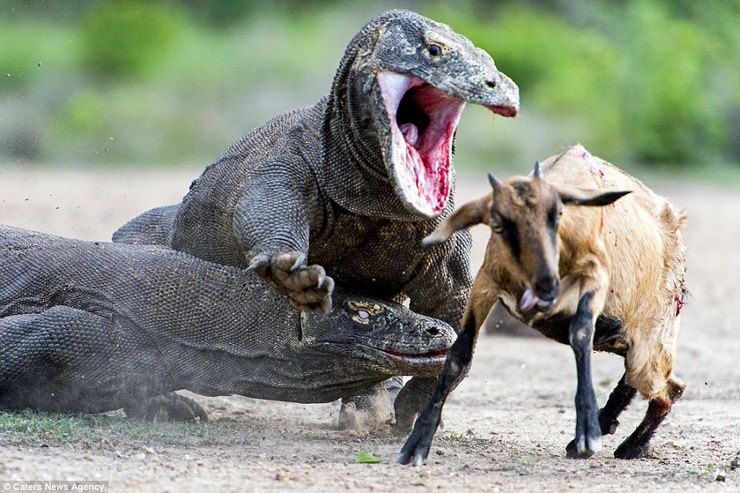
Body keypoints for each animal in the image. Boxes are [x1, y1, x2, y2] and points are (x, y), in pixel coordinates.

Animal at [398, 144, 688, 464]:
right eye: (498, 224)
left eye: (558, 213)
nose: (546, 284)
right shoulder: (486, 282)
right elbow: (458, 354)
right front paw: (416, 443)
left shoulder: (595, 273)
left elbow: (581, 333)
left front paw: (587, 434)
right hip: (630, 343)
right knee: (650, 382)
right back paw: (607, 429)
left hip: (652, 337)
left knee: (668, 388)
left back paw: (631, 444)